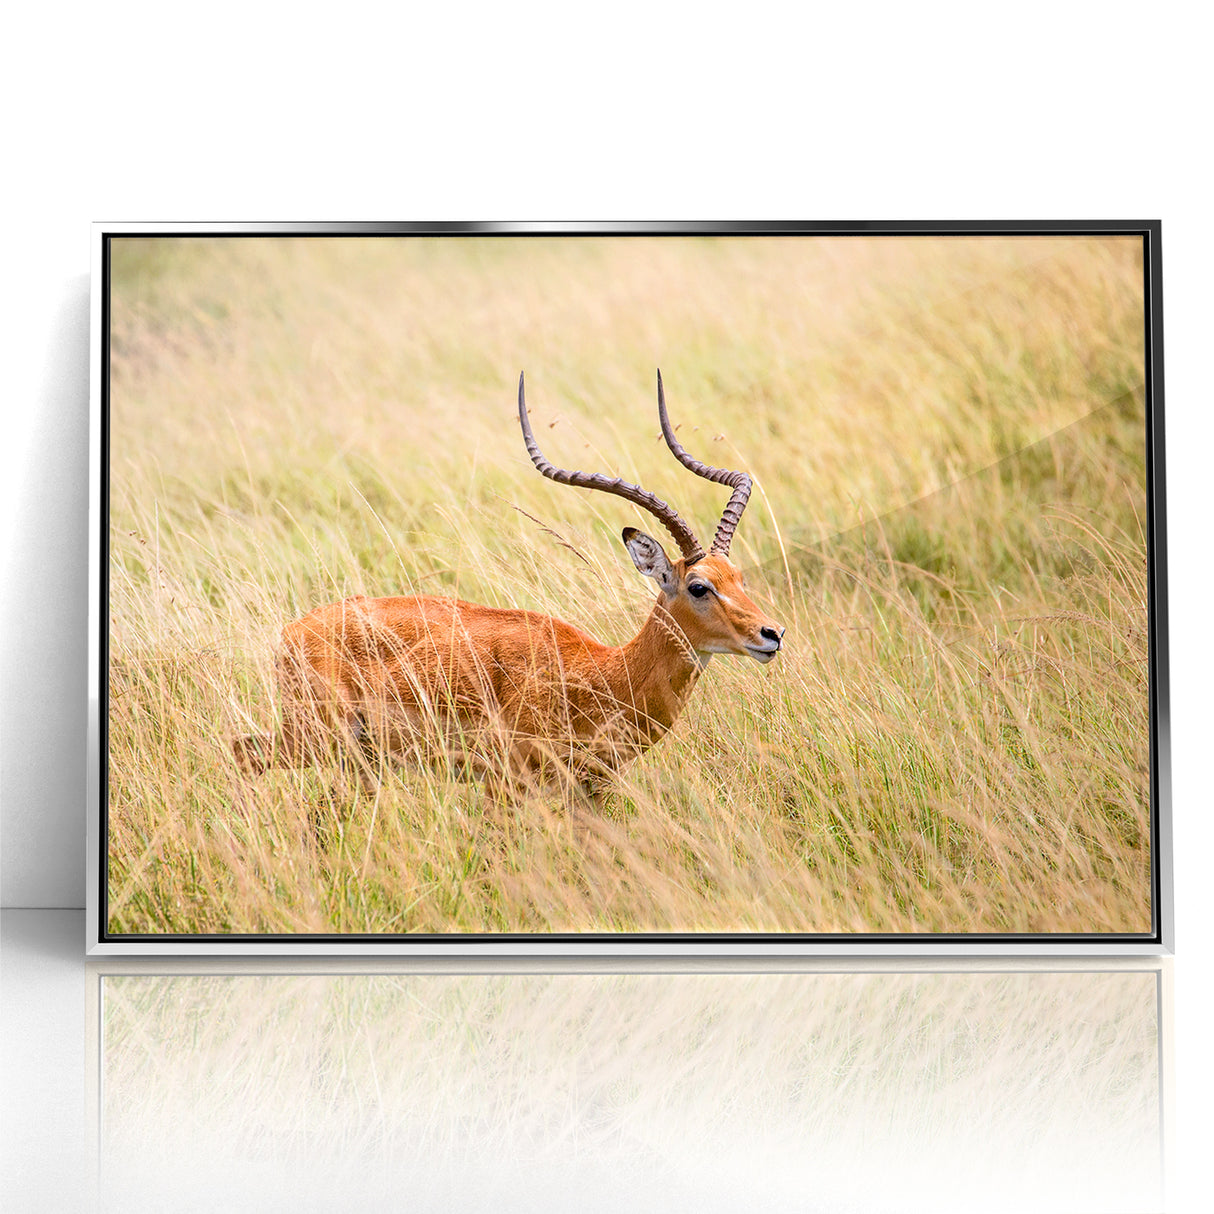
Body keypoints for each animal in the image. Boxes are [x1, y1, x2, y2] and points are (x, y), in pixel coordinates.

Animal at [232, 371, 784, 808]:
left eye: (738, 577)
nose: (771, 634)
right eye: (698, 586)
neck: (603, 674)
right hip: (317, 737)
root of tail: (292, 631)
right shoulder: (506, 783)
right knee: (241, 753)